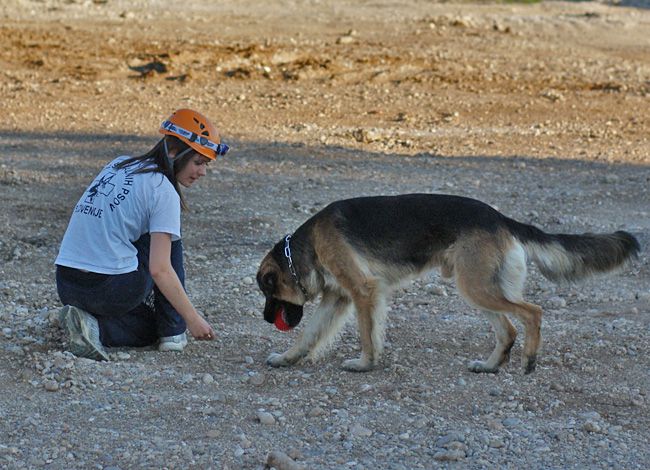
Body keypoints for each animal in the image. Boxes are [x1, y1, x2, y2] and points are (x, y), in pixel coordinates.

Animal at [254, 193, 636, 372]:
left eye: (269, 295)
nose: (265, 318)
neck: (306, 246)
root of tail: (500, 218)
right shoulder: (338, 298)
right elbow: (309, 335)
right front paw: (288, 358)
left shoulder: (363, 292)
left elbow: (367, 334)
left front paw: (366, 364)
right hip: (478, 288)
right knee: (508, 330)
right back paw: (490, 366)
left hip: (476, 287)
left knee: (533, 312)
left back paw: (529, 360)